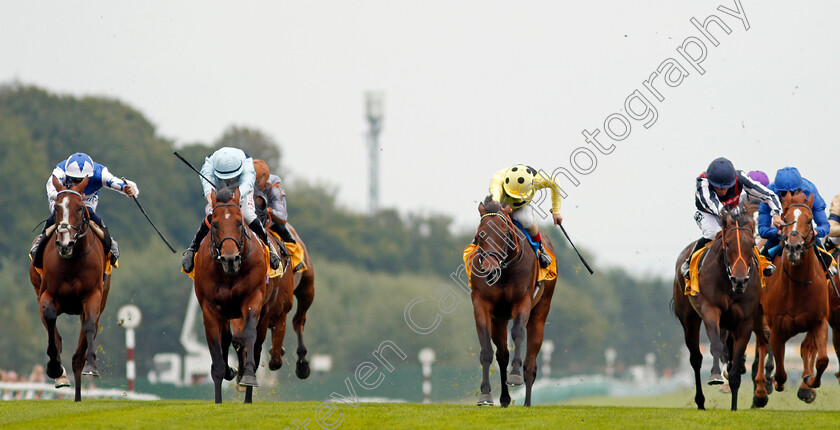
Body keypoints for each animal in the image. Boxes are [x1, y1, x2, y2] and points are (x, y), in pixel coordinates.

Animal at [28, 176, 110, 402]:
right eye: (57, 207)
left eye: (80, 208)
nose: (65, 243)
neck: (72, 261)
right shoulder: (46, 295)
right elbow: (51, 324)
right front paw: (55, 369)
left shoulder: (93, 297)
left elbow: (89, 327)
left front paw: (91, 365)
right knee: (54, 332)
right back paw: (62, 376)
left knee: (82, 345)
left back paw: (79, 393)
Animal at [192, 186, 268, 404]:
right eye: (215, 224)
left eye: (239, 222)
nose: (230, 259)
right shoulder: (210, 309)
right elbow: (217, 349)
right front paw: (218, 398)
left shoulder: (253, 298)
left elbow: (249, 335)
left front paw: (248, 376)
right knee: (227, 339)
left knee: (255, 346)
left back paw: (247, 395)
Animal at [470, 197, 556, 406]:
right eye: (479, 234)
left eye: (504, 234)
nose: (489, 270)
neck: (504, 272)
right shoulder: (482, 305)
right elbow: (487, 350)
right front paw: (485, 394)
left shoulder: (522, 301)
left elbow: (518, 333)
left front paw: (515, 376)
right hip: (499, 320)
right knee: (502, 355)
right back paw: (505, 398)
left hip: (540, 312)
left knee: (531, 361)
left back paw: (527, 402)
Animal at [668, 210, 768, 412]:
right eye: (727, 243)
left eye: (751, 244)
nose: (740, 280)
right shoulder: (711, 310)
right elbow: (715, 346)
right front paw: (715, 376)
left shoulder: (745, 321)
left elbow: (736, 361)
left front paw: (734, 406)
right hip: (689, 318)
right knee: (696, 358)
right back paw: (701, 401)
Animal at [760, 191, 832, 404]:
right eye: (784, 219)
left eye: (809, 220)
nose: (794, 247)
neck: (798, 286)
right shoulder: (776, 328)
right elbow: (781, 372)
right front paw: (774, 382)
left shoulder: (819, 321)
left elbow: (822, 359)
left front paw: (809, 382)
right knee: (762, 346)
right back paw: (762, 389)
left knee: (806, 347)